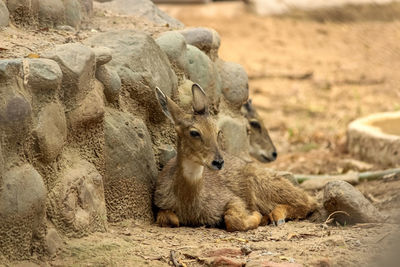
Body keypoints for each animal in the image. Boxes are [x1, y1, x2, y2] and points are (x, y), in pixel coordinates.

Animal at [155, 84, 318, 232]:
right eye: (194, 132)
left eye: (218, 131)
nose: (218, 162)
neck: (189, 199)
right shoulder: (161, 206)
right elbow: (170, 219)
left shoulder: (233, 199)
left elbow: (233, 220)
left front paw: (257, 216)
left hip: (265, 185)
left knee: (308, 201)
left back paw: (277, 217)